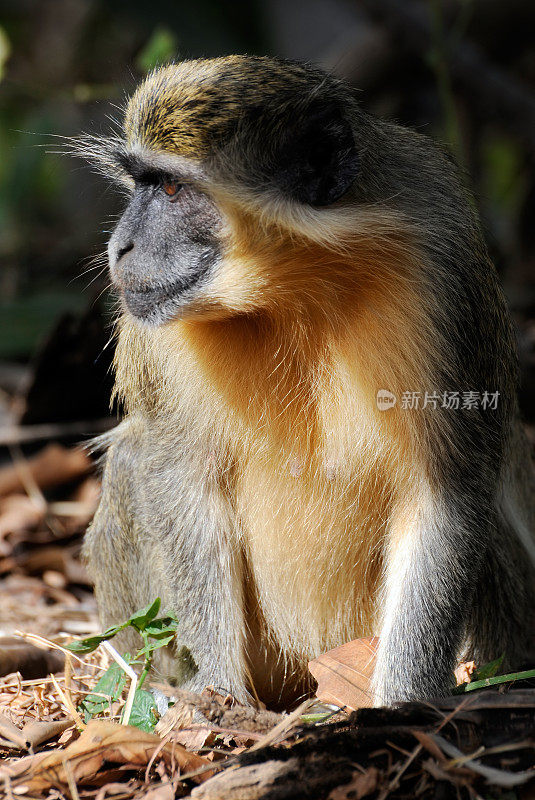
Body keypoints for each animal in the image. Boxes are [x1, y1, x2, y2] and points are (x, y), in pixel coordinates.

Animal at [81, 54, 532, 708]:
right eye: (140, 182)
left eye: (170, 188)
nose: (121, 247)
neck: (291, 289)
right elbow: (178, 472)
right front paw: (217, 693)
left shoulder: (441, 269)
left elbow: (445, 491)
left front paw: (401, 701)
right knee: (134, 459)